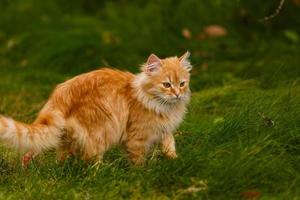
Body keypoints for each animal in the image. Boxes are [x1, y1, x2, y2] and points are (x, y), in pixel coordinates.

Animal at [0, 51, 192, 166]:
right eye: (167, 85)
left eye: (182, 84)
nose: (177, 94)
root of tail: (60, 97)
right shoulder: (137, 137)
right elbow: (137, 160)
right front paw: (142, 173)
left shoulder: (164, 130)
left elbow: (169, 144)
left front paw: (174, 159)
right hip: (102, 130)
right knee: (90, 160)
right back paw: (101, 172)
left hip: (68, 137)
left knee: (62, 157)